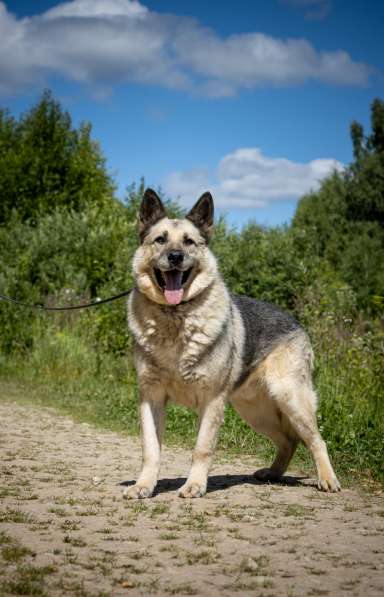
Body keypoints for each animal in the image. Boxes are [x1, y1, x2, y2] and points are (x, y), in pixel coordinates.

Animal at [124, 189, 340, 496]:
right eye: (160, 240)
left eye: (189, 242)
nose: (176, 256)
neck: (176, 318)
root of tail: (296, 321)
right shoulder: (150, 398)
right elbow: (150, 449)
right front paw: (144, 485)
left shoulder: (211, 401)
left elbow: (202, 448)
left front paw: (194, 485)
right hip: (254, 411)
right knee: (288, 441)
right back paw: (273, 472)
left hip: (291, 399)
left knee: (315, 440)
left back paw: (327, 478)